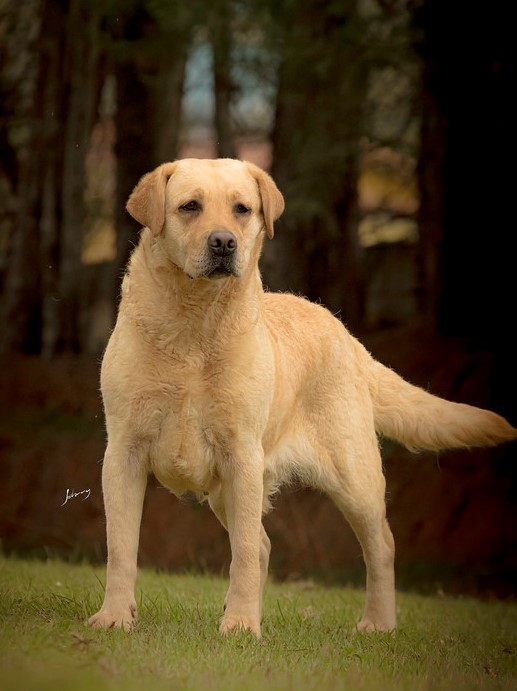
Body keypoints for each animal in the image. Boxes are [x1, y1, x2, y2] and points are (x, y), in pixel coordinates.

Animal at [87, 157, 512, 636]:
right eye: (190, 206)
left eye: (242, 209)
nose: (223, 243)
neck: (193, 326)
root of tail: (348, 336)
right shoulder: (124, 453)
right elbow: (121, 548)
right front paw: (115, 616)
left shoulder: (241, 455)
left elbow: (242, 554)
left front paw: (240, 626)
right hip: (232, 489)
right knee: (262, 544)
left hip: (352, 477)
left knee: (377, 545)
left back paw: (376, 622)